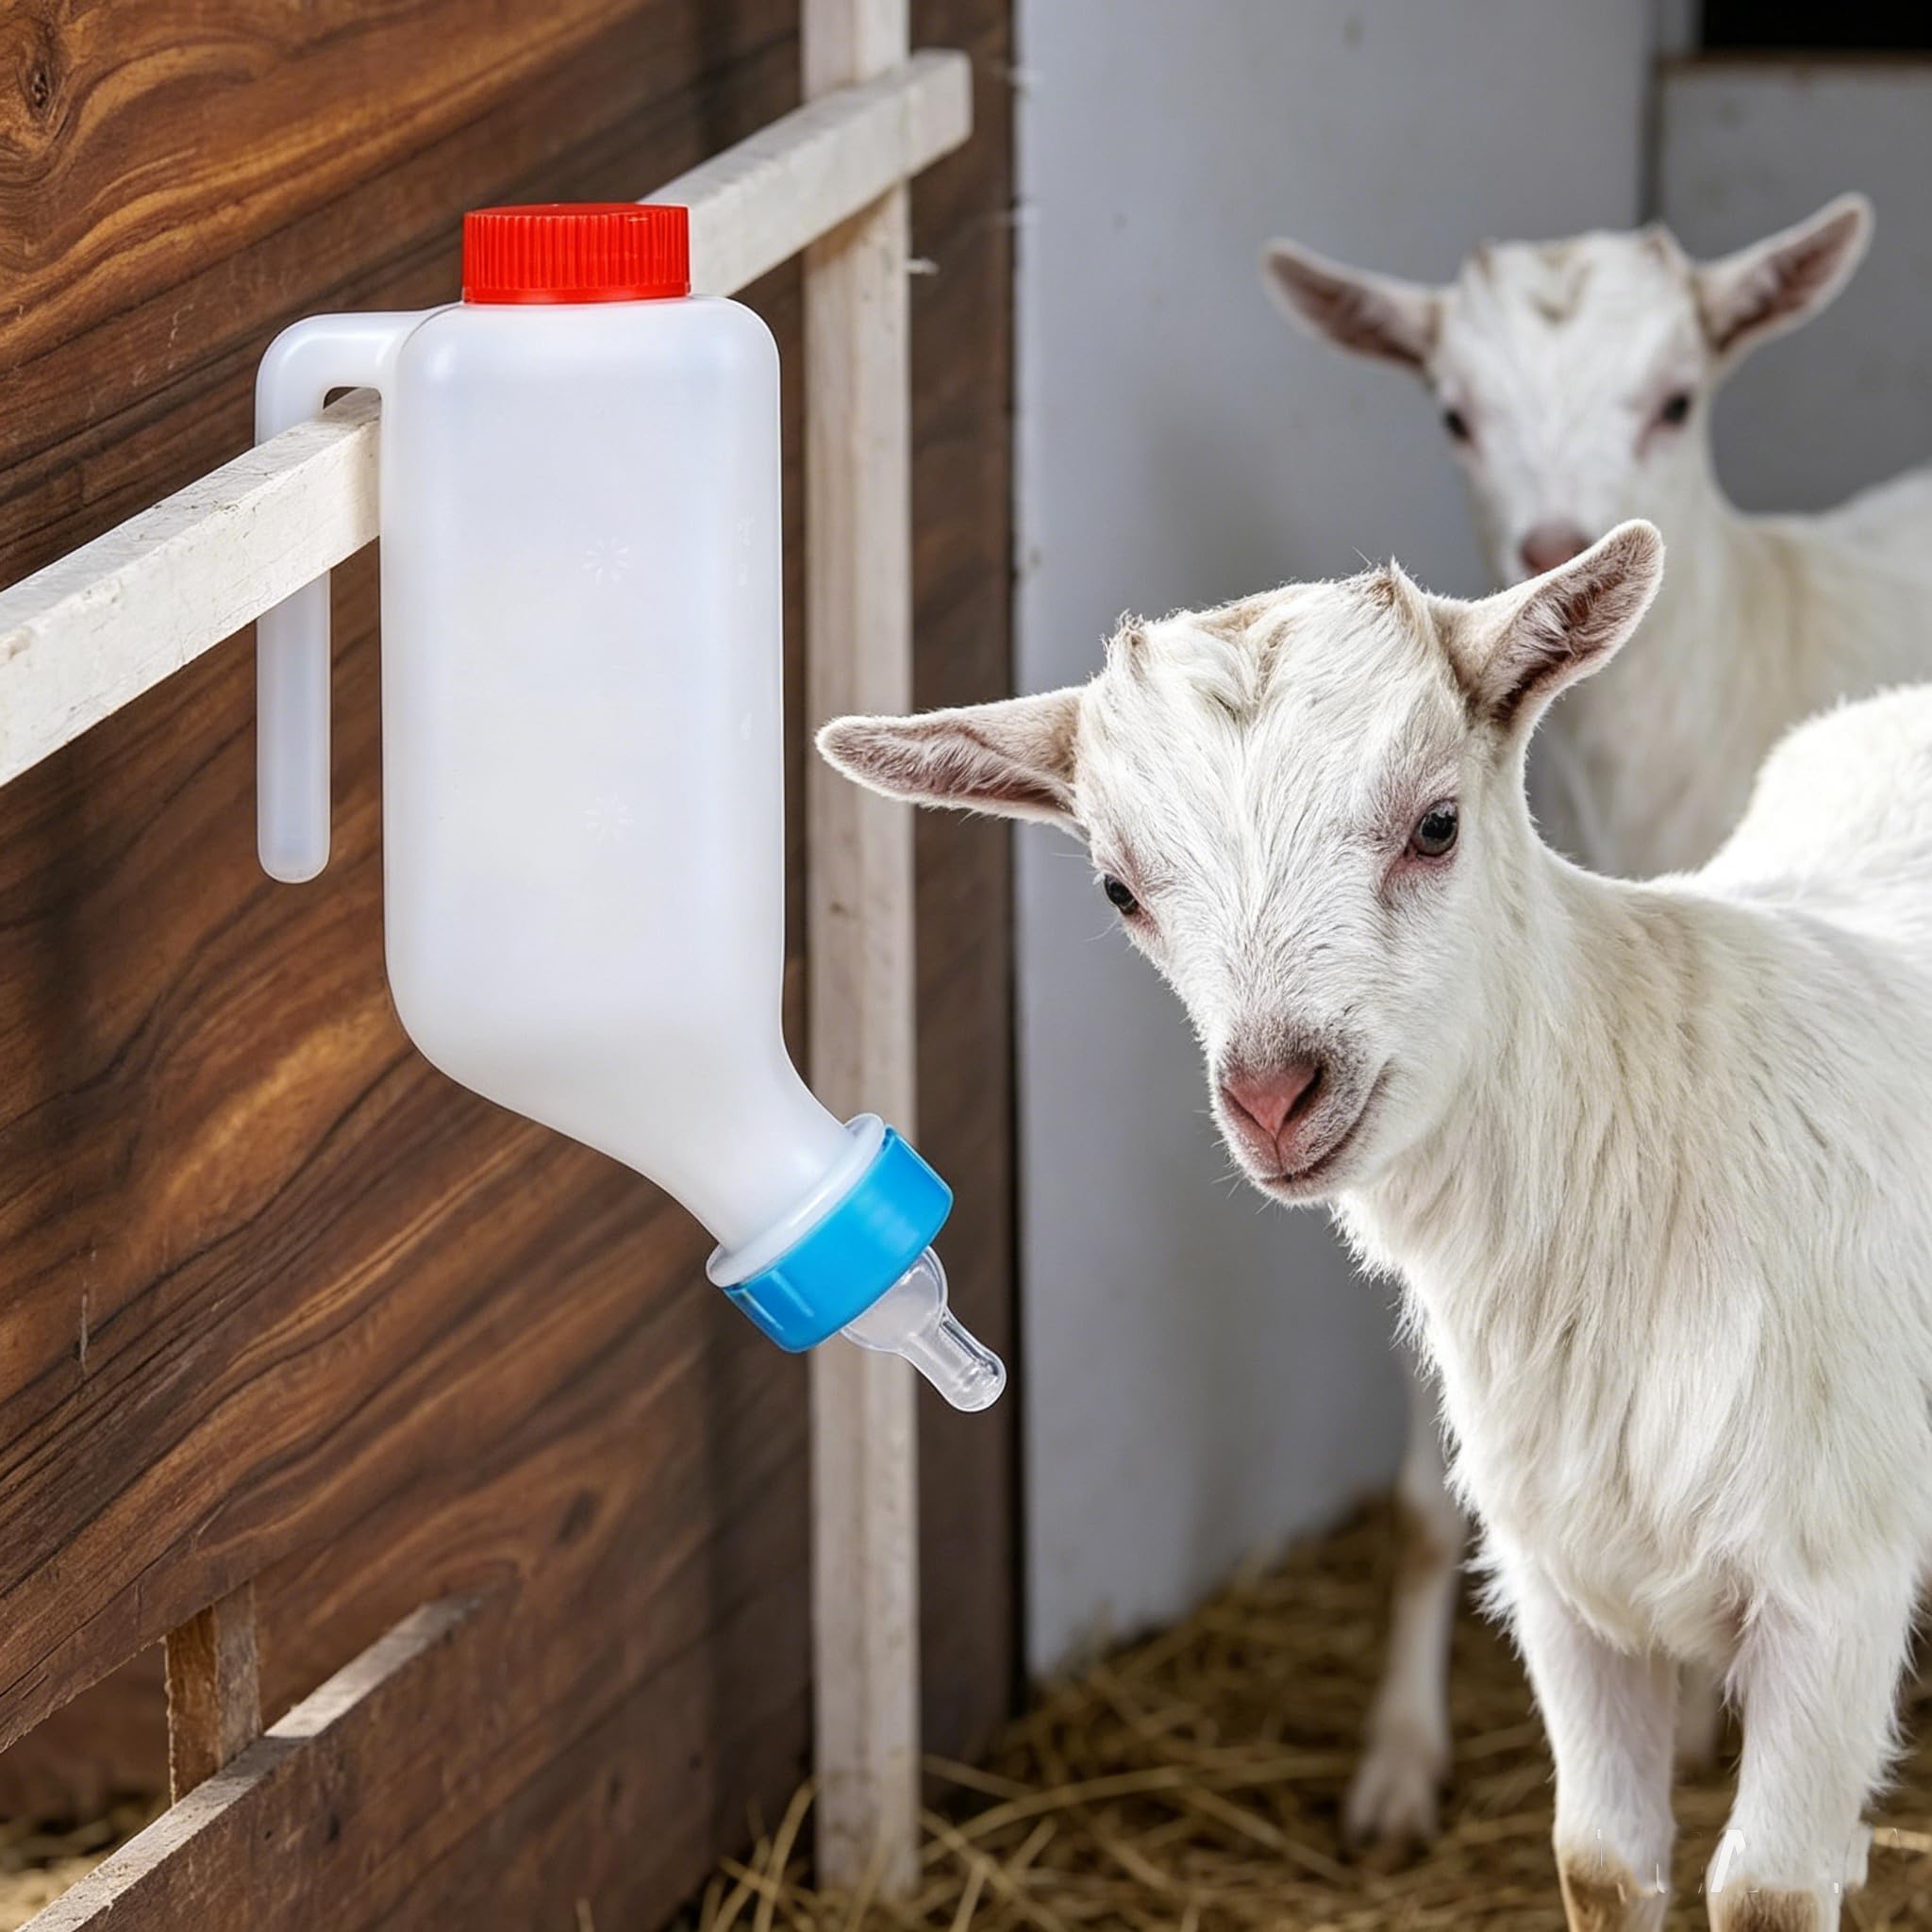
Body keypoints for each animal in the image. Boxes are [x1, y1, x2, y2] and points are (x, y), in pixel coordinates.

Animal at [820, 522, 1932, 1931]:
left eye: (1436, 825)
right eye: (1121, 888)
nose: (1270, 1092)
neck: (1641, 1145)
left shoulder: (1831, 1594)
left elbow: (1770, 1893)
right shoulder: (1566, 1592)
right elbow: (1599, 1862)